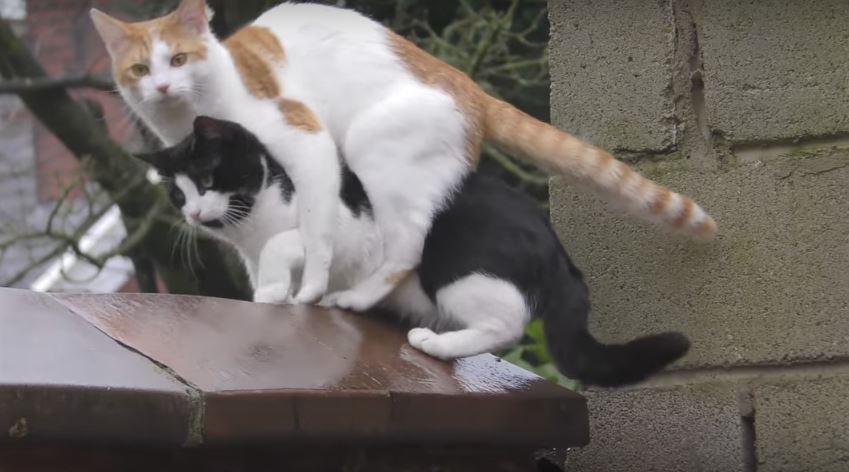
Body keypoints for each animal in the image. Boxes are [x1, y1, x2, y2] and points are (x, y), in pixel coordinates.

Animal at [91, 1, 716, 314]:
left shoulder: (309, 146)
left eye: (179, 59)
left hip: (374, 150)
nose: (162, 88)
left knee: (408, 244)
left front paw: (307, 290)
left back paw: (353, 297)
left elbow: (315, 227)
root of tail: (471, 86)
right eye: (140, 70)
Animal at [132, 115, 688, 388]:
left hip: (452, 267)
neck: (255, 219)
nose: (193, 214)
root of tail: (556, 246)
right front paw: (278, 292)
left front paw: (272, 292)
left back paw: (434, 343)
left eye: (208, 178)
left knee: (505, 323)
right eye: (177, 194)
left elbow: (287, 246)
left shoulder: (347, 227)